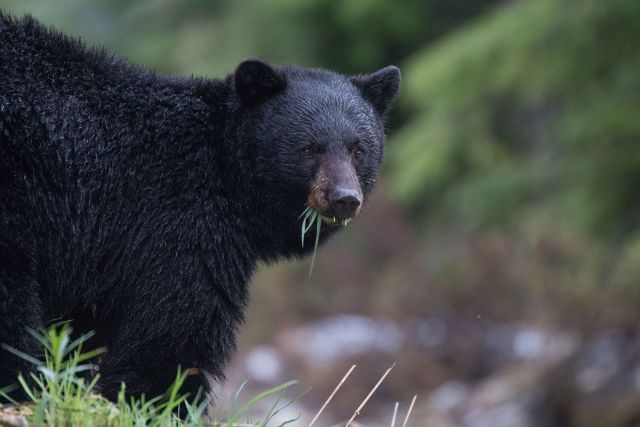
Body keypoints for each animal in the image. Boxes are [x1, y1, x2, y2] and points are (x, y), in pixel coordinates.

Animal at [0, 12, 400, 402]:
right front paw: (163, 401)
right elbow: (174, 329)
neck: (224, 167)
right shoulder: (180, 222)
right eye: (309, 148)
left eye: (358, 149)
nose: (344, 198)